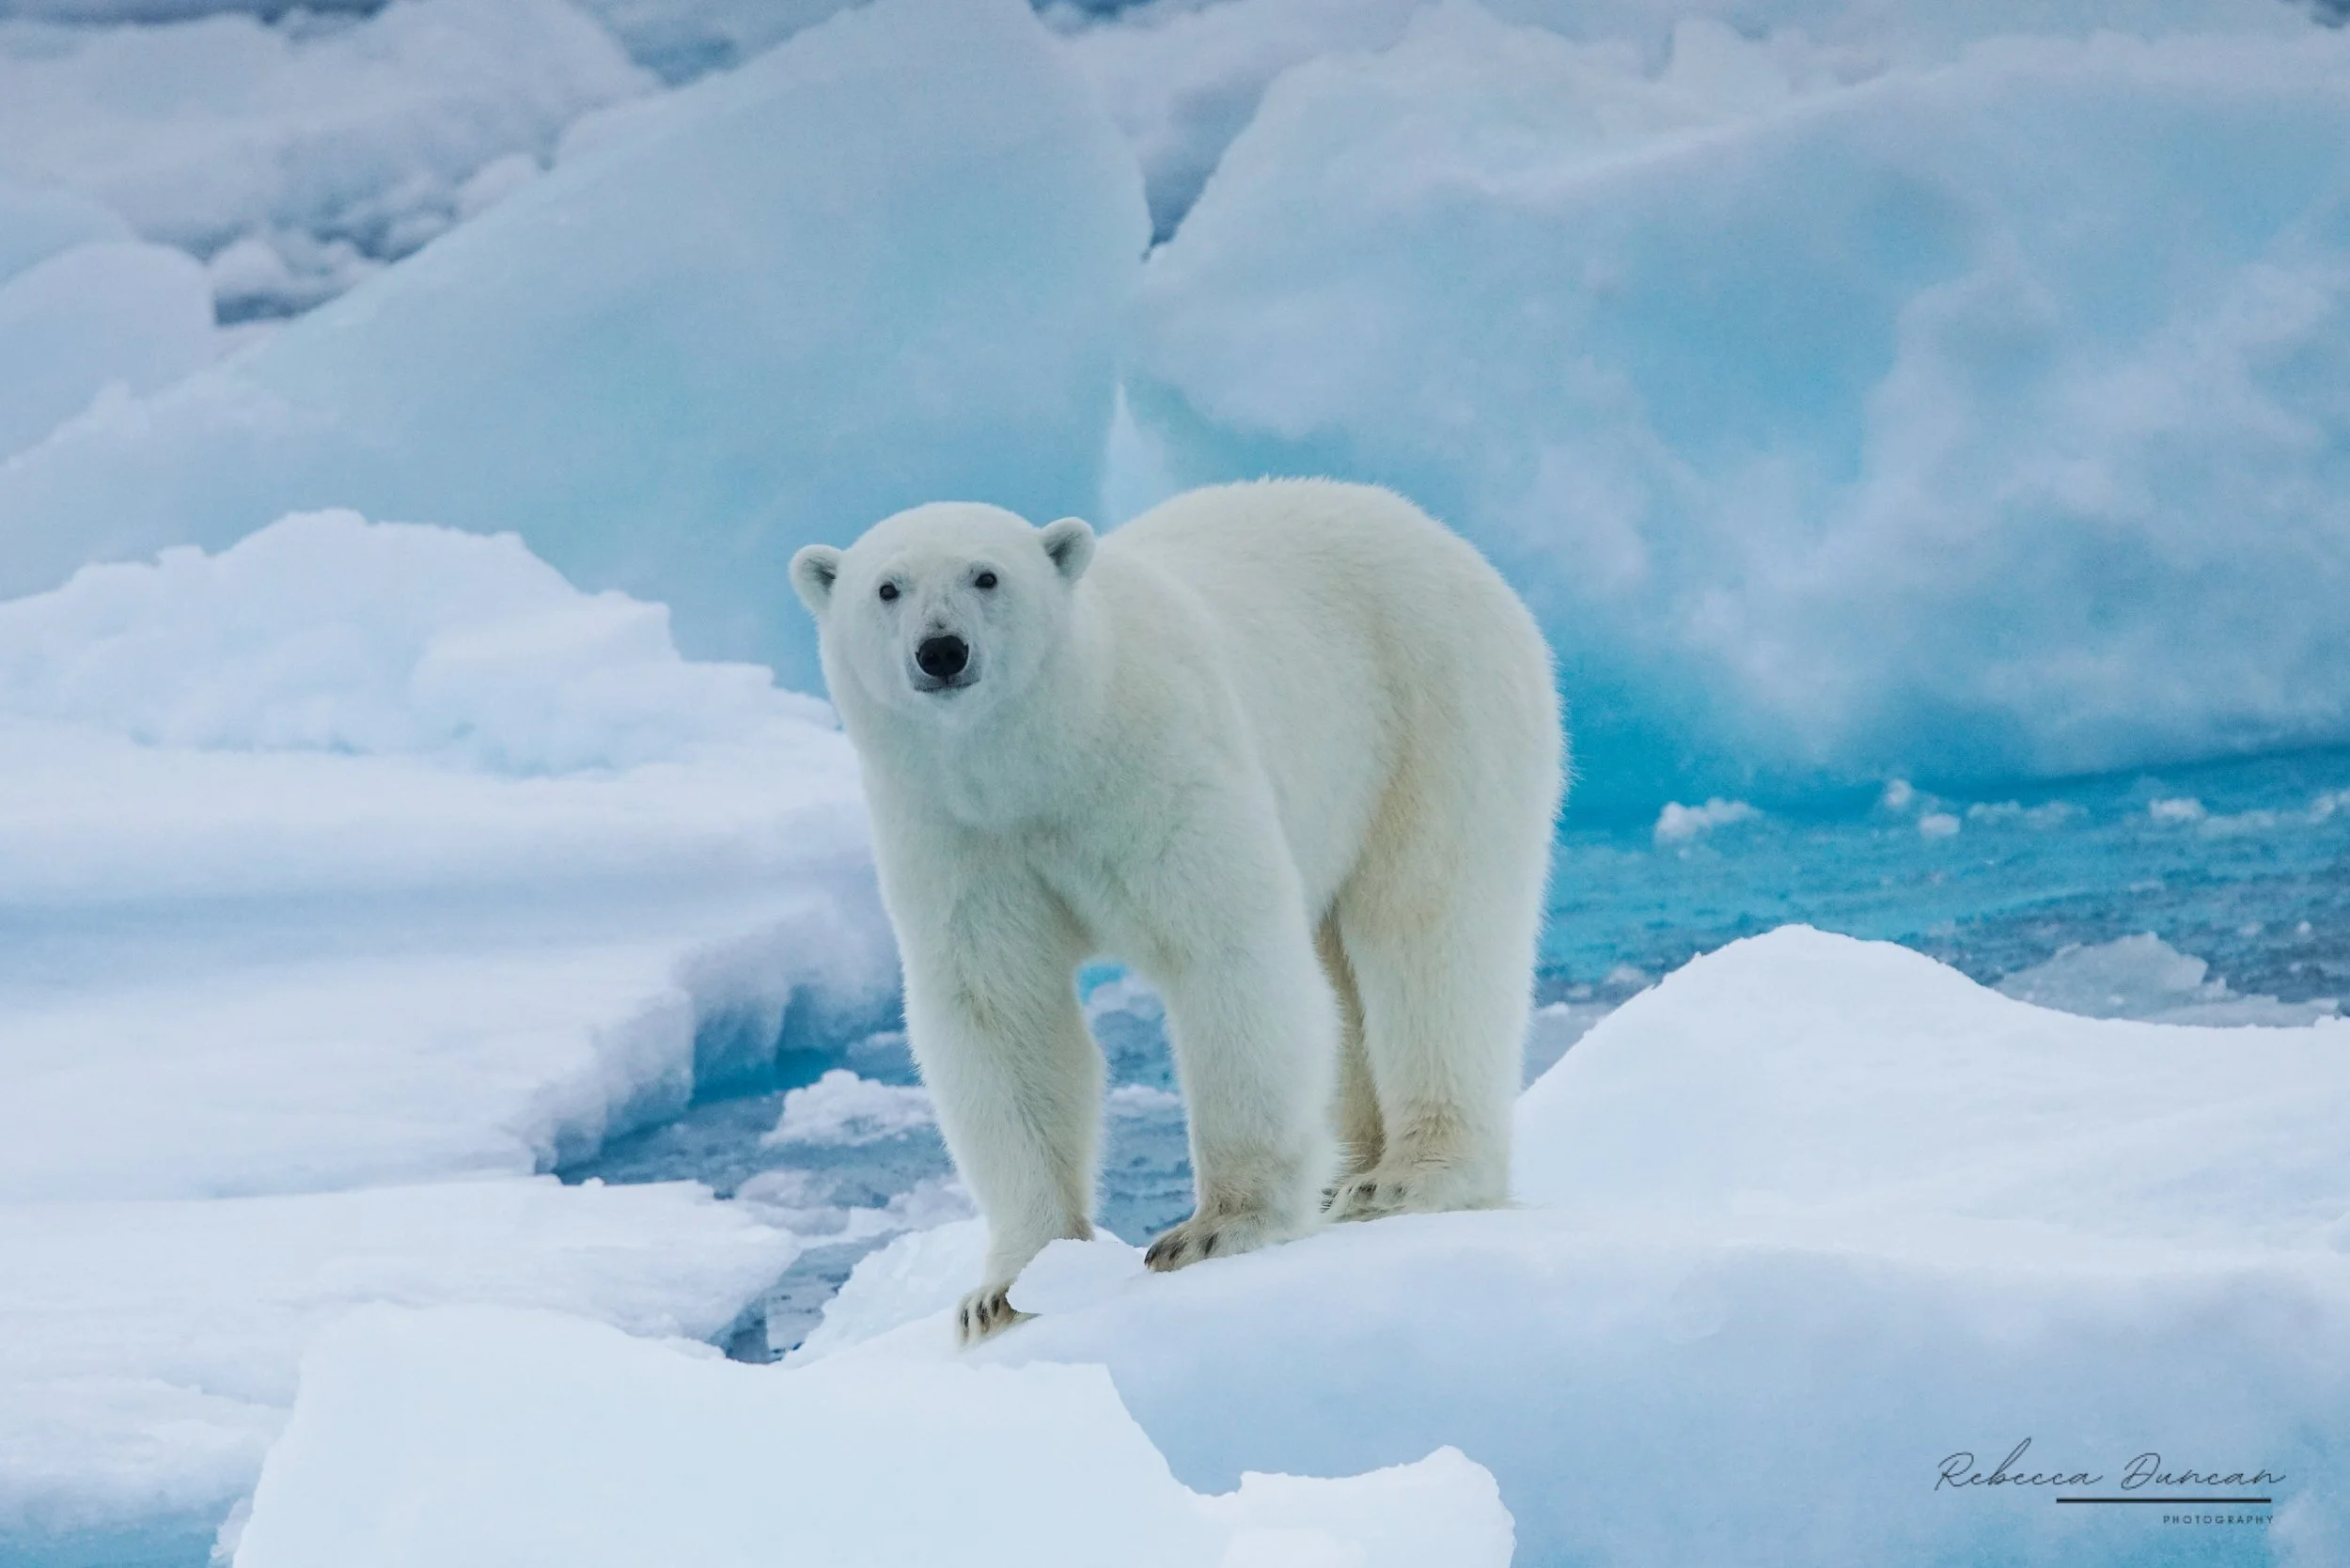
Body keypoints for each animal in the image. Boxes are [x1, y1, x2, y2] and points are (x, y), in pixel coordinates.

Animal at [790, 478, 1563, 1344]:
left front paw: (1217, 1228)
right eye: (887, 589)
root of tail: (1438, 535)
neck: (1046, 756)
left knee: (1429, 930)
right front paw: (1005, 1290)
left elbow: (1225, 950)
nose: (942, 650)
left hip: (1432, 708)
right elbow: (1000, 1014)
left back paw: (1409, 1178)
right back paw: (1348, 1175)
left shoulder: (1158, 763)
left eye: (986, 576)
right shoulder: (957, 834)